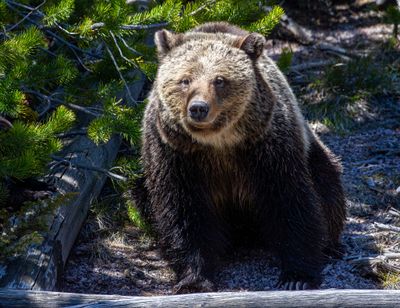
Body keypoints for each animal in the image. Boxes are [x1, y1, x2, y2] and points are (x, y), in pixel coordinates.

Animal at [133, 21, 346, 292]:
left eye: (219, 80)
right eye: (185, 80)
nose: (198, 108)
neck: (219, 143)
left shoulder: (267, 147)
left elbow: (291, 201)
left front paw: (297, 276)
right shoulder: (174, 153)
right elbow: (183, 213)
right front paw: (194, 280)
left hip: (313, 152)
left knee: (328, 185)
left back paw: (331, 244)